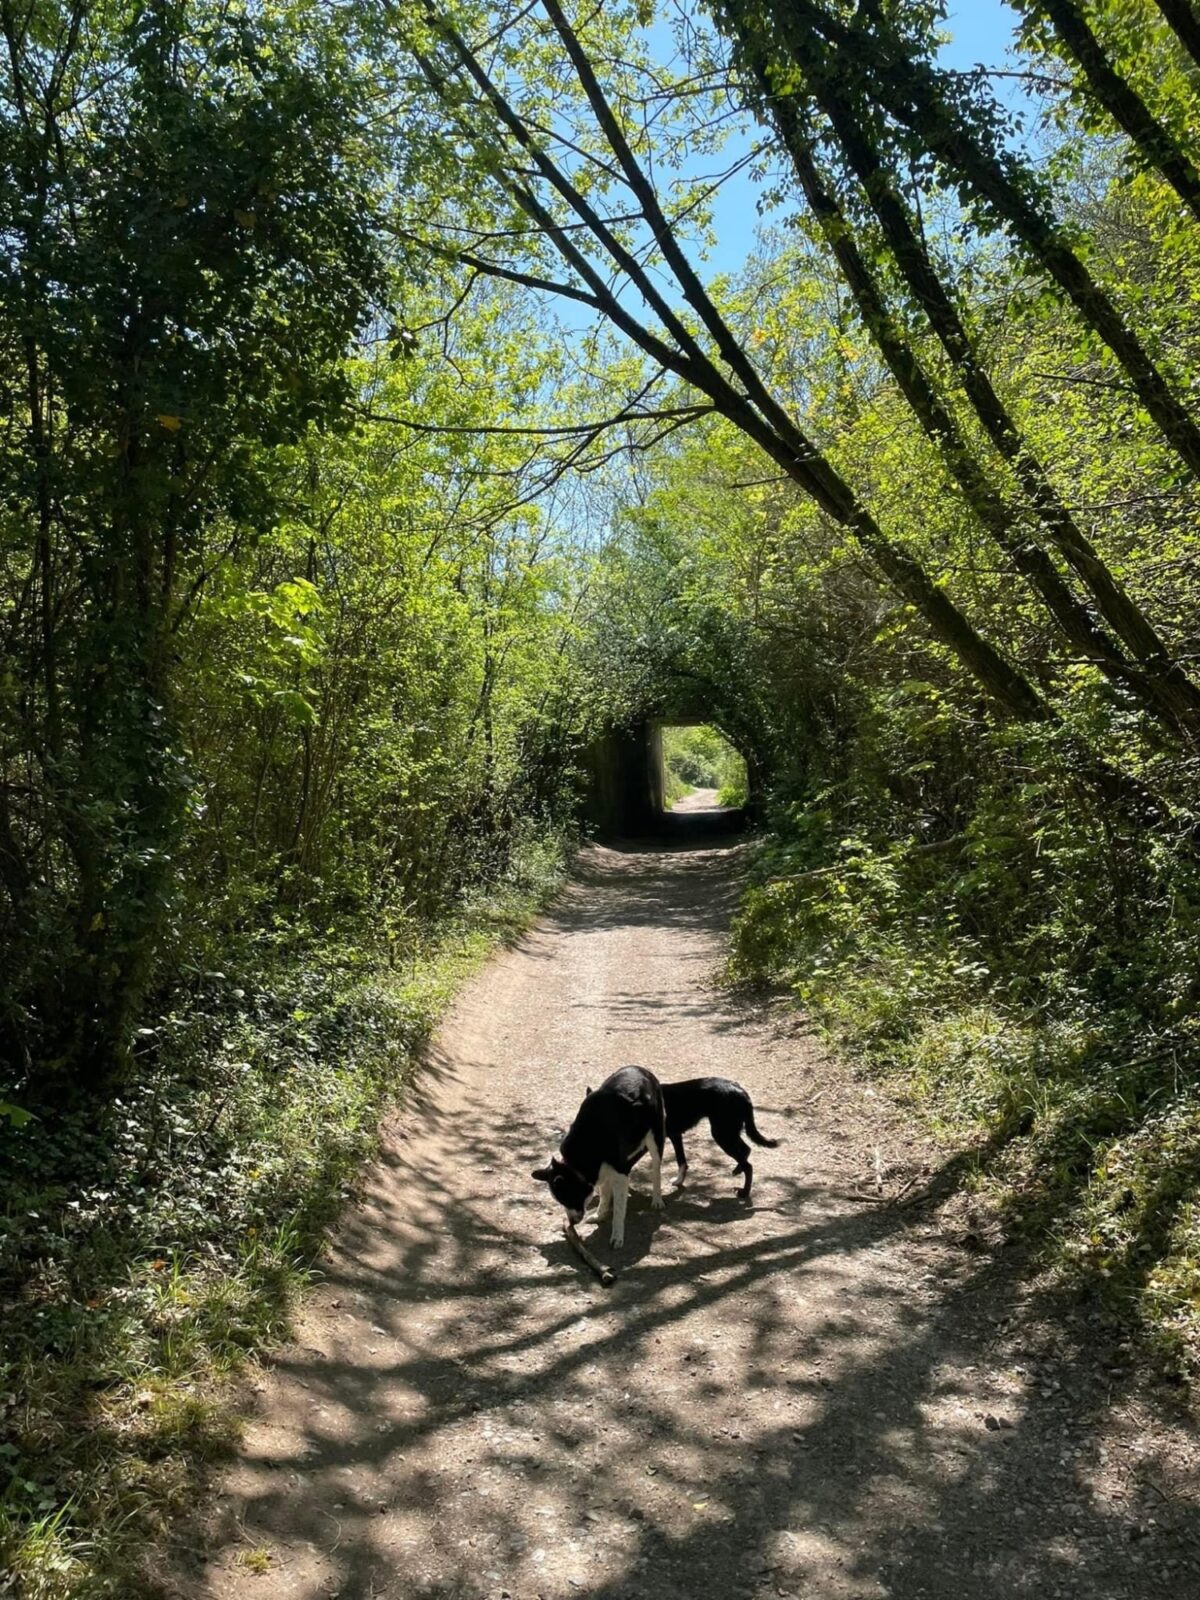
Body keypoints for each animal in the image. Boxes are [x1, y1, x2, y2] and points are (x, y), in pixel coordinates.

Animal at [534, 1062, 668, 1248]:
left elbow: (619, 1208)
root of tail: (641, 1069)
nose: (572, 1222)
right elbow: (604, 1194)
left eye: (569, 1198)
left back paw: (657, 1199)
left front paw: (617, 1236)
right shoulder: (602, 1170)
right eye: (562, 1202)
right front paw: (600, 1214)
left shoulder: (620, 1170)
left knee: (656, 1169)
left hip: (655, 1137)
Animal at [662, 1075, 784, 1203]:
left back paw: (744, 1192)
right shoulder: (675, 1135)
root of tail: (741, 1091)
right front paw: (679, 1181)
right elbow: (681, 1161)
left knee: (748, 1166)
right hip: (728, 1132)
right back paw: (738, 1170)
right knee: (746, 1149)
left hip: (722, 1134)